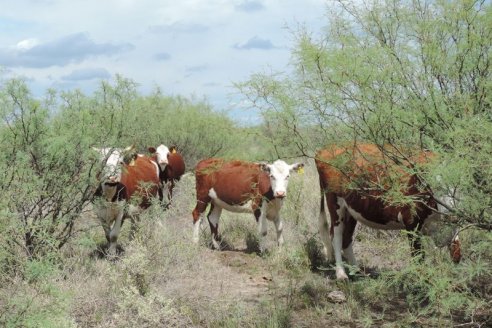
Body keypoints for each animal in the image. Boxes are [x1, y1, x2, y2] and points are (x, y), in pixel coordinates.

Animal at [316, 144, 462, 280]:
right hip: (335, 203)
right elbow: (418, 258)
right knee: (336, 235)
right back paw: (341, 274)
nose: (452, 213)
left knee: (346, 237)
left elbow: (457, 254)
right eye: (433, 184)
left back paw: (357, 272)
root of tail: (325, 149)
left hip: (351, 210)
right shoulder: (411, 222)